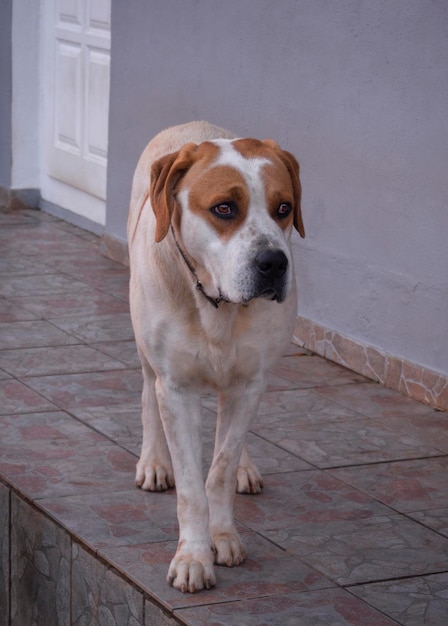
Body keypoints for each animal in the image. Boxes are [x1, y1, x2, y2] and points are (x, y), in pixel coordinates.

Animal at [128, 120, 306, 588]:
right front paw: (193, 556)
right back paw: (154, 462)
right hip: (145, 347)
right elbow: (192, 486)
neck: (217, 306)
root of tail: (191, 127)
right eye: (224, 208)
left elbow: (219, 470)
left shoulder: (249, 383)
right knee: (146, 392)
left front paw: (222, 536)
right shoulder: (175, 389)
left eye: (284, 208)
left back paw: (245, 467)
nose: (273, 263)